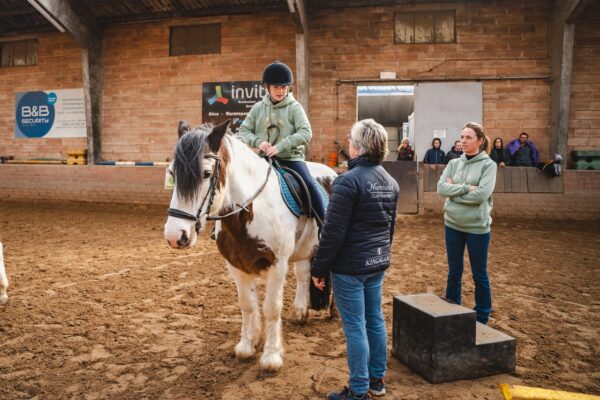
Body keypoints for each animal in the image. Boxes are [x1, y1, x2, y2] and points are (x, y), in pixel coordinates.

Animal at [163, 119, 338, 372]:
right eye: (172, 174)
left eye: (206, 173)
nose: (175, 235)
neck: (251, 211)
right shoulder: (236, 266)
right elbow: (247, 305)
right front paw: (247, 345)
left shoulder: (277, 266)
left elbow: (271, 308)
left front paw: (271, 356)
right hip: (305, 250)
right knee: (304, 275)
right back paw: (300, 312)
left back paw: (334, 312)